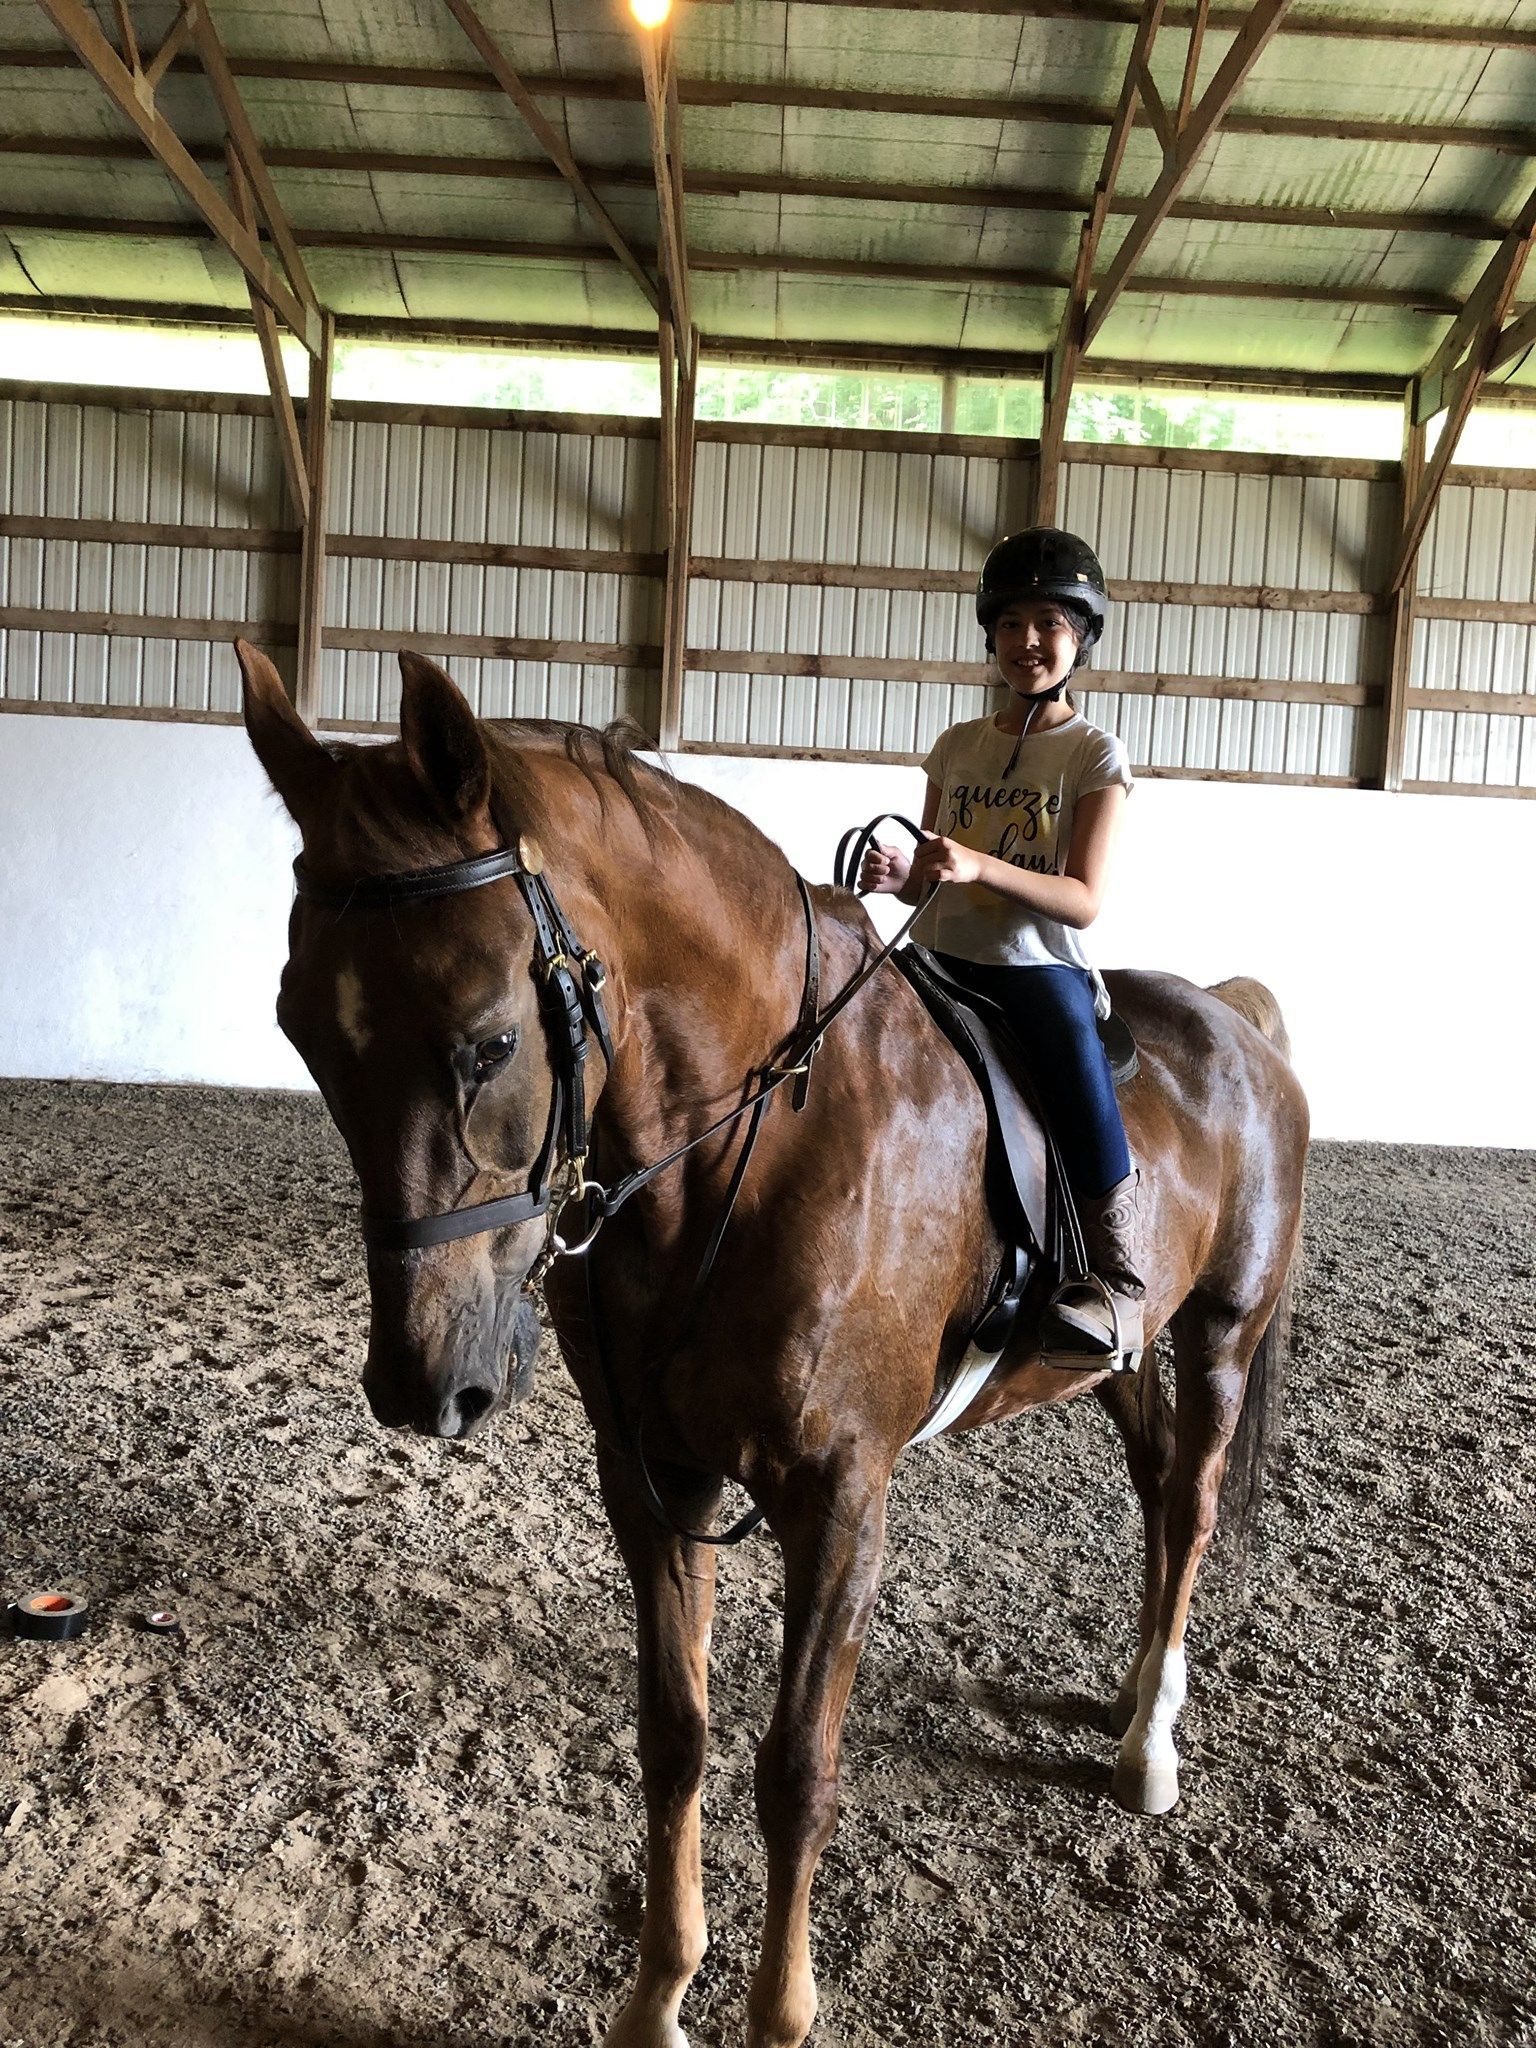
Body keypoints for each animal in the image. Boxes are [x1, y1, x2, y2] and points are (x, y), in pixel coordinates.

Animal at [235, 639, 1309, 2048]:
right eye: (302, 1029)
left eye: (491, 1039)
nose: (425, 1386)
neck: (751, 1144)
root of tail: (1233, 1014)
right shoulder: (654, 1478)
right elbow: (674, 1736)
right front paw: (654, 2003)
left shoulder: (840, 1497)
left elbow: (797, 1765)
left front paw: (778, 2011)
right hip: (1119, 1358)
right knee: (1150, 1484)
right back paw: (1133, 1697)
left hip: (1223, 1332)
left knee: (1188, 1506)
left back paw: (1149, 1747)